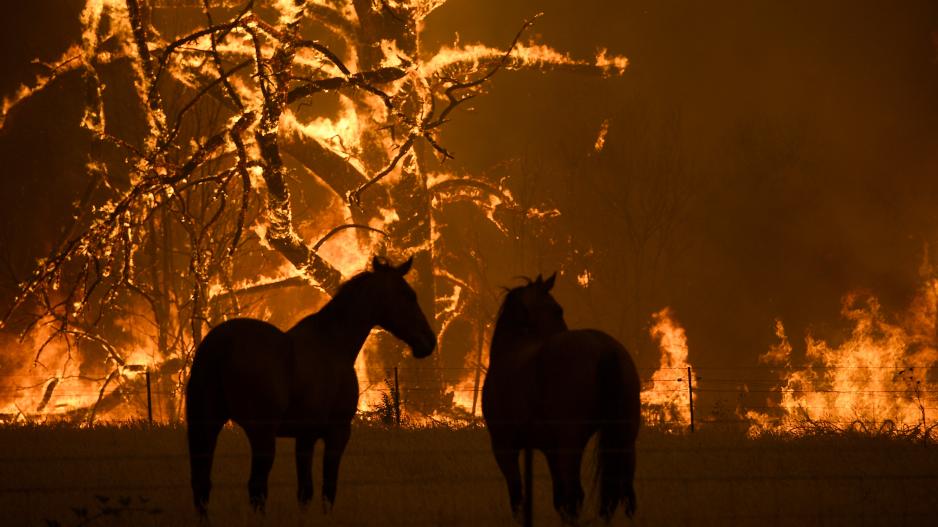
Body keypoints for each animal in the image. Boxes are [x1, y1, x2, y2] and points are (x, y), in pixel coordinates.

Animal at [186, 258, 436, 516]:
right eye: (408, 295)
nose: (429, 341)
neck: (333, 344)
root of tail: (219, 345)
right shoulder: (337, 433)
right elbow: (328, 489)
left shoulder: (305, 436)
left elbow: (305, 492)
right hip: (261, 434)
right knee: (256, 488)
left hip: (207, 425)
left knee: (202, 484)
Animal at [482, 274, 636, 524]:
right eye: (557, 310)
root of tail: (603, 347)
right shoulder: (550, 450)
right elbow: (558, 500)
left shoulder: (504, 447)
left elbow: (518, 498)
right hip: (626, 438)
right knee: (626, 494)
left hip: (571, 443)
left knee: (576, 495)